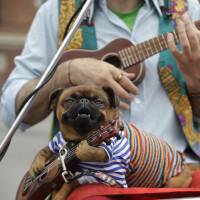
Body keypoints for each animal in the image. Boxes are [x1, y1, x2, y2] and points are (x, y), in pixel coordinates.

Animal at [28, 85, 200, 199]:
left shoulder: (105, 176)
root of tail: (184, 163)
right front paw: (36, 166)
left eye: (98, 102)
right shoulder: (59, 140)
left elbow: (72, 182)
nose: (84, 100)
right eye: (69, 101)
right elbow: (47, 150)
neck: (78, 138)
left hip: (173, 183)